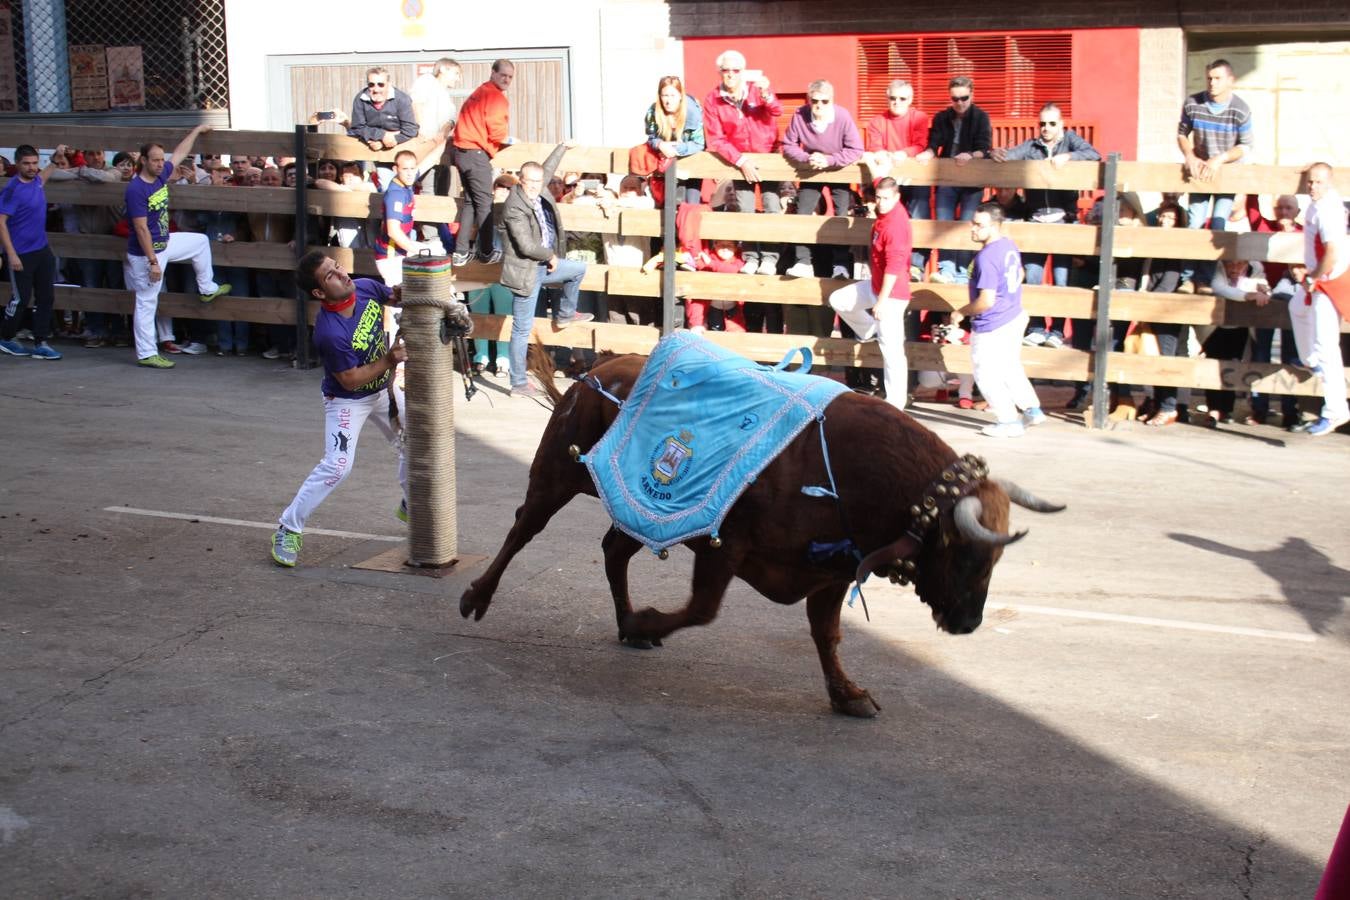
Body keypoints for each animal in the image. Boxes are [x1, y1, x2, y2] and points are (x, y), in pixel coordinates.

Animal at [464, 353, 1063, 717]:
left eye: (995, 560)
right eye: (961, 551)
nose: (967, 622)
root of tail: (597, 371)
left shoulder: (830, 573)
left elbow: (827, 635)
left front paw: (848, 695)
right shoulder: (722, 547)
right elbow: (703, 610)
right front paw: (648, 620)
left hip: (637, 512)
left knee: (614, 551)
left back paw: (627, 625)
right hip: (555, 476)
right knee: (523, 529)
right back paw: (477, 597)